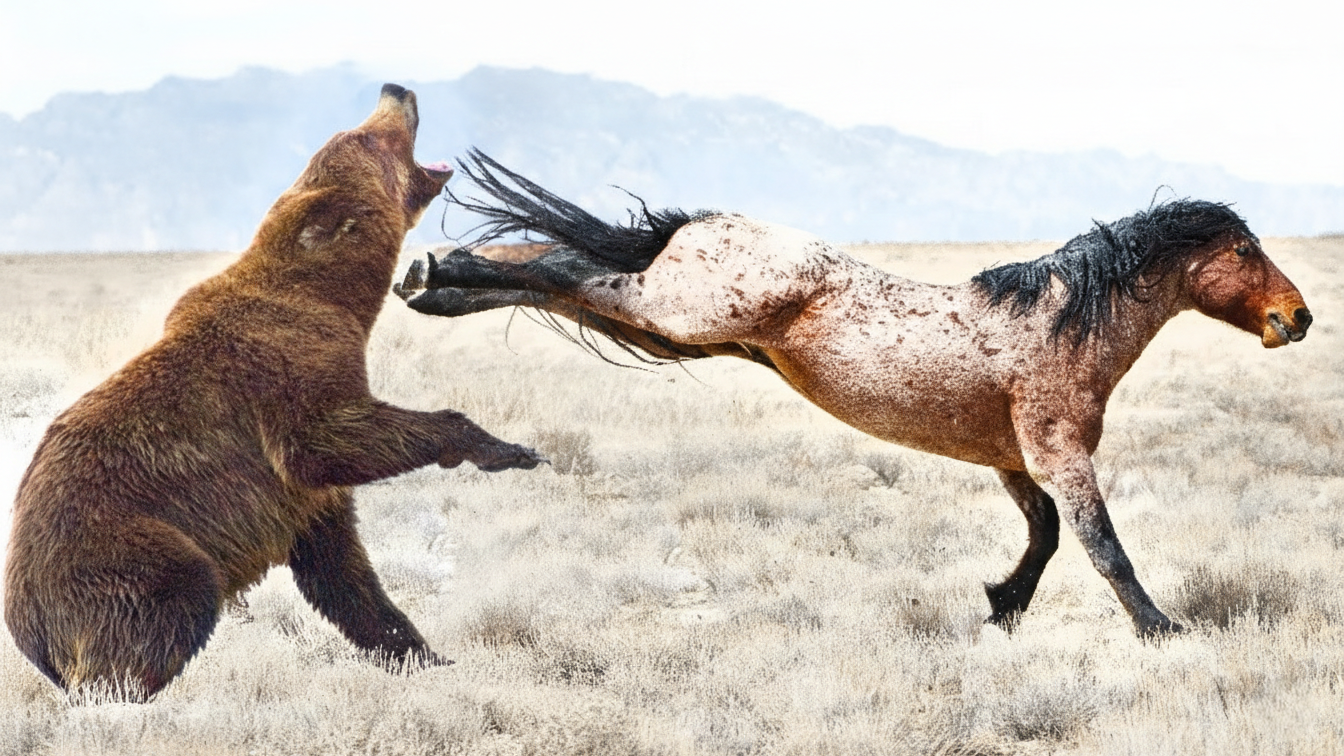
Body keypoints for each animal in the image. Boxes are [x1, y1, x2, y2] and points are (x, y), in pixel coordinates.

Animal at [396, 150, 1313, 636]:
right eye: (1243, 249)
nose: (1297, 317)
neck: (1060, 323)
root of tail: (707, 224)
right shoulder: (1060, 454)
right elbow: (1103, 545)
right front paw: (1161, 629)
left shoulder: (1013, 459)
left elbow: (1048, 536)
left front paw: (1000, 607)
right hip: (678, 312)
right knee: (568, 270)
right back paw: (430, 272)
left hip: (673, 328)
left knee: (564, 276)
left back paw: (431, 284)